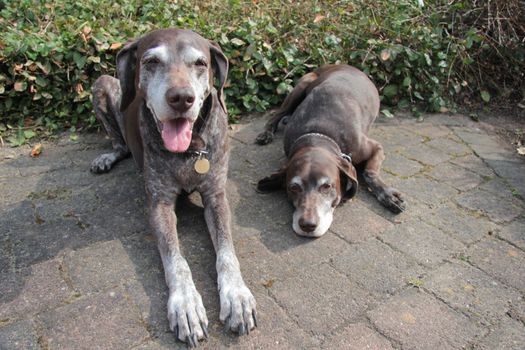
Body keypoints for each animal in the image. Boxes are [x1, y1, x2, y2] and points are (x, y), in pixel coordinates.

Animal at [90, 29, 256, 348]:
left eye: (200, 63)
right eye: (152, 61)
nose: (182, 99)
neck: (191, 150)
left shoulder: (216, 197)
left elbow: (227, 253)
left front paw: (237, 296)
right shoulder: (160, 205)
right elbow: (175, 260)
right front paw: (187, 305)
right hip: (102, 84)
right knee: (119, 144)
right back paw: (107, 157)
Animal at [256, 64, 404, 238]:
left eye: (327, 186)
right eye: (293, 188)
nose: (308, 225)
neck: (317, 135)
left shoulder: (375, 147)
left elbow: (369, 173)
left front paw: (388, 195)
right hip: (302, 84)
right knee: (276, 113)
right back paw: (266, 133)